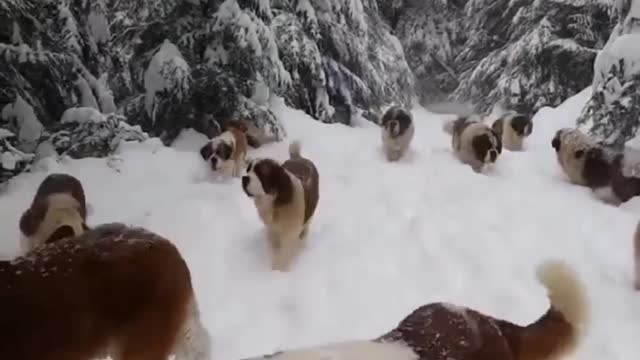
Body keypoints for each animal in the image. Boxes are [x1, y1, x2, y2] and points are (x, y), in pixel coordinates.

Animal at [240, 141, 320, 270]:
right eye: (248, 170)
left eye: (260, 173)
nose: (244, 178)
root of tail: (298, 157)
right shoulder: (272, 230)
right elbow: (275, 247)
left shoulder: (289, 234)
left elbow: (283, 254)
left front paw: (278, 270)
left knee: (307, 224)